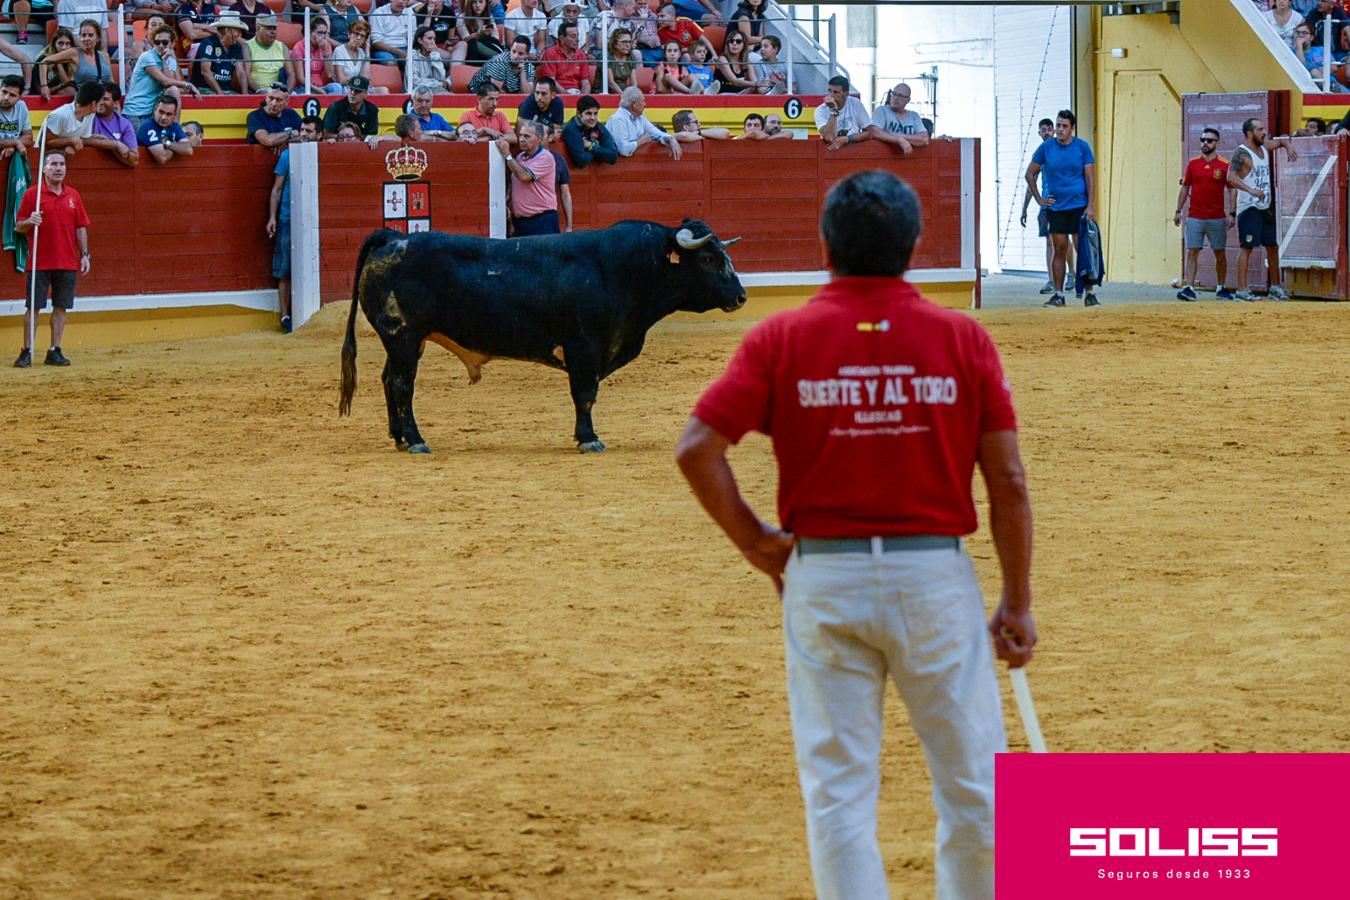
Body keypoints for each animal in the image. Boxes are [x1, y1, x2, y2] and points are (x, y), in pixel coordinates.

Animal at [333, 219, 745, 450]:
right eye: (709, 259)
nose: (741, 296)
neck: (623, 268)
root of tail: (393, 237)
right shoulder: (583, 348)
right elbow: (585, 395)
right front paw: (588, 438)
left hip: (404, 342)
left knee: (388, 380)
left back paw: (400, 437)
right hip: (403, 337)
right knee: (402, 384)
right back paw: (417, 440)